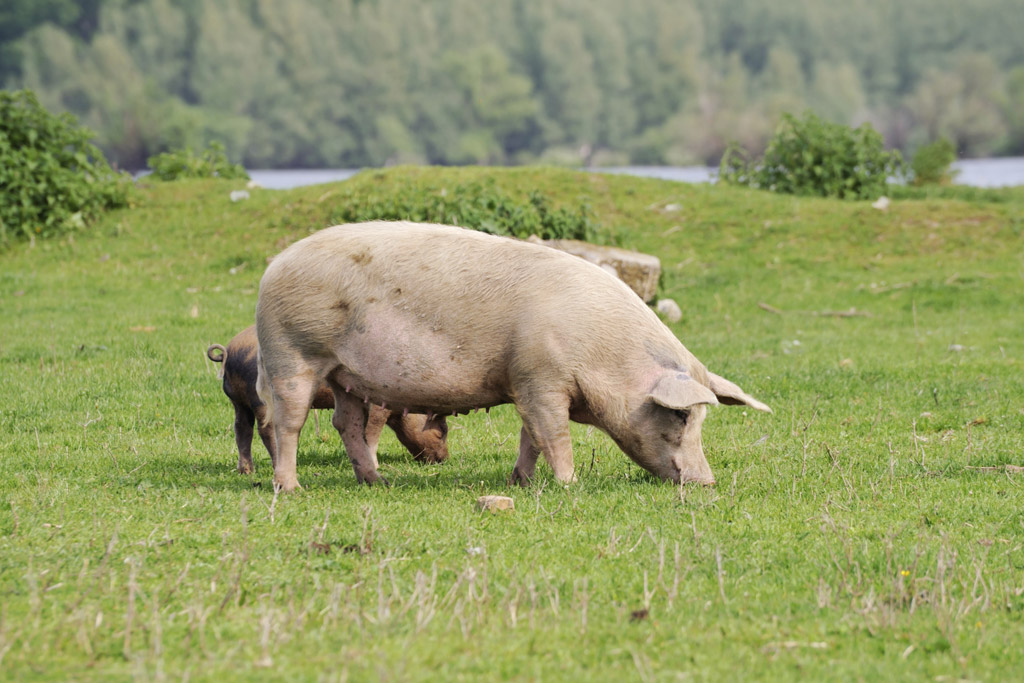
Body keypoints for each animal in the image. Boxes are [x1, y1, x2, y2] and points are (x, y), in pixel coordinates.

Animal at [206, 324, 449, 475]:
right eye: (442, 431)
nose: (445, 458)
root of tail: (230, 351)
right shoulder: (377, 406)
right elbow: (373, 430)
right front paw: (376, 465)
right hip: (262, 399)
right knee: (265, 430)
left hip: (237, 401)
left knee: (241, 429)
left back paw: (247, 471)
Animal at [255, 221, 770, 492]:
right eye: (682, 417)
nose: (706, 481)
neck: (603, 354)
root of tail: (272, 268)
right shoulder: (543, 377)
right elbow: (554, 435)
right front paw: (569, 485)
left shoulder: (526, 381)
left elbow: (531, 437)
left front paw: (519, 482)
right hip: (292, 351)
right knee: (288, 421)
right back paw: (290, 487)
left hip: (346, 375)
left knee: (347, 422)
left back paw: (375, 481)